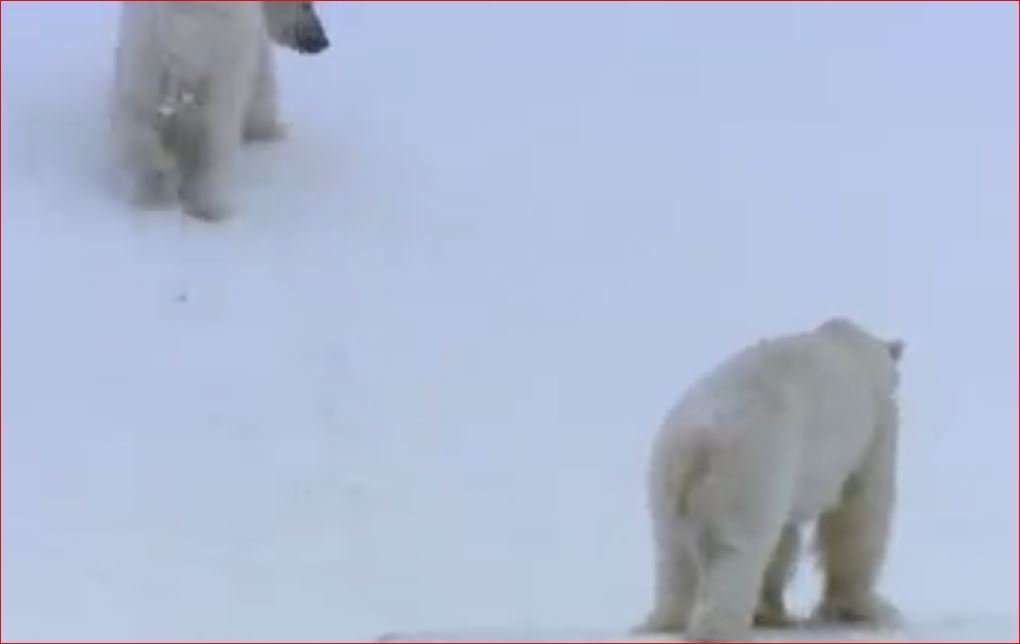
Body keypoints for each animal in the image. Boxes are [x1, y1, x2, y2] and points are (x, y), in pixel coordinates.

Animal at [632, 320, 905, 640]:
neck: (852, 344)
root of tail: (698, 443)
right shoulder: (875, 431)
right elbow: (859, 515)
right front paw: (864, 609)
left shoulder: (787, 478)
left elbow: (785, 538)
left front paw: (772, 614)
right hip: (748, 469)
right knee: (734, 551)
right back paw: (719, 629)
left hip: (666, 481)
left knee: (673, 555)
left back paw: (665, 623)